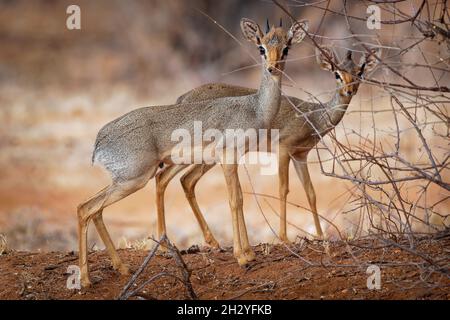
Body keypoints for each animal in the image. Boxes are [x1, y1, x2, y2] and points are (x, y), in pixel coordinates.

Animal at [78, 17, 310, 288]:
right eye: (261, 47)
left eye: (286, 48)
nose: (273, 68)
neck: (255, 109)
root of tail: (100, 139)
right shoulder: (228, 158)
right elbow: (235, 200)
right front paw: (242, 257)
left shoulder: (235, 160)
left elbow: (240, 198)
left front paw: (249, 253)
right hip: (134, 180)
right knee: (86, 208)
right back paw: (86, 280)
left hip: (127, 180)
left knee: (94, 210)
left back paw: (121, 268)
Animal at [154, 45, 380, 245]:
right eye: (336, 73)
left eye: (359, 72)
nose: (350, 90)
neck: (313, 117)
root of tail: (182, 98)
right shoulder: (283, 150)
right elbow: (283, 189)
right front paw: (284, 238)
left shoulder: (300, 156)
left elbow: (310, 192)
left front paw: (320, 236)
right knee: (176, 178)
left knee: (178, 179)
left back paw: (210, 242)